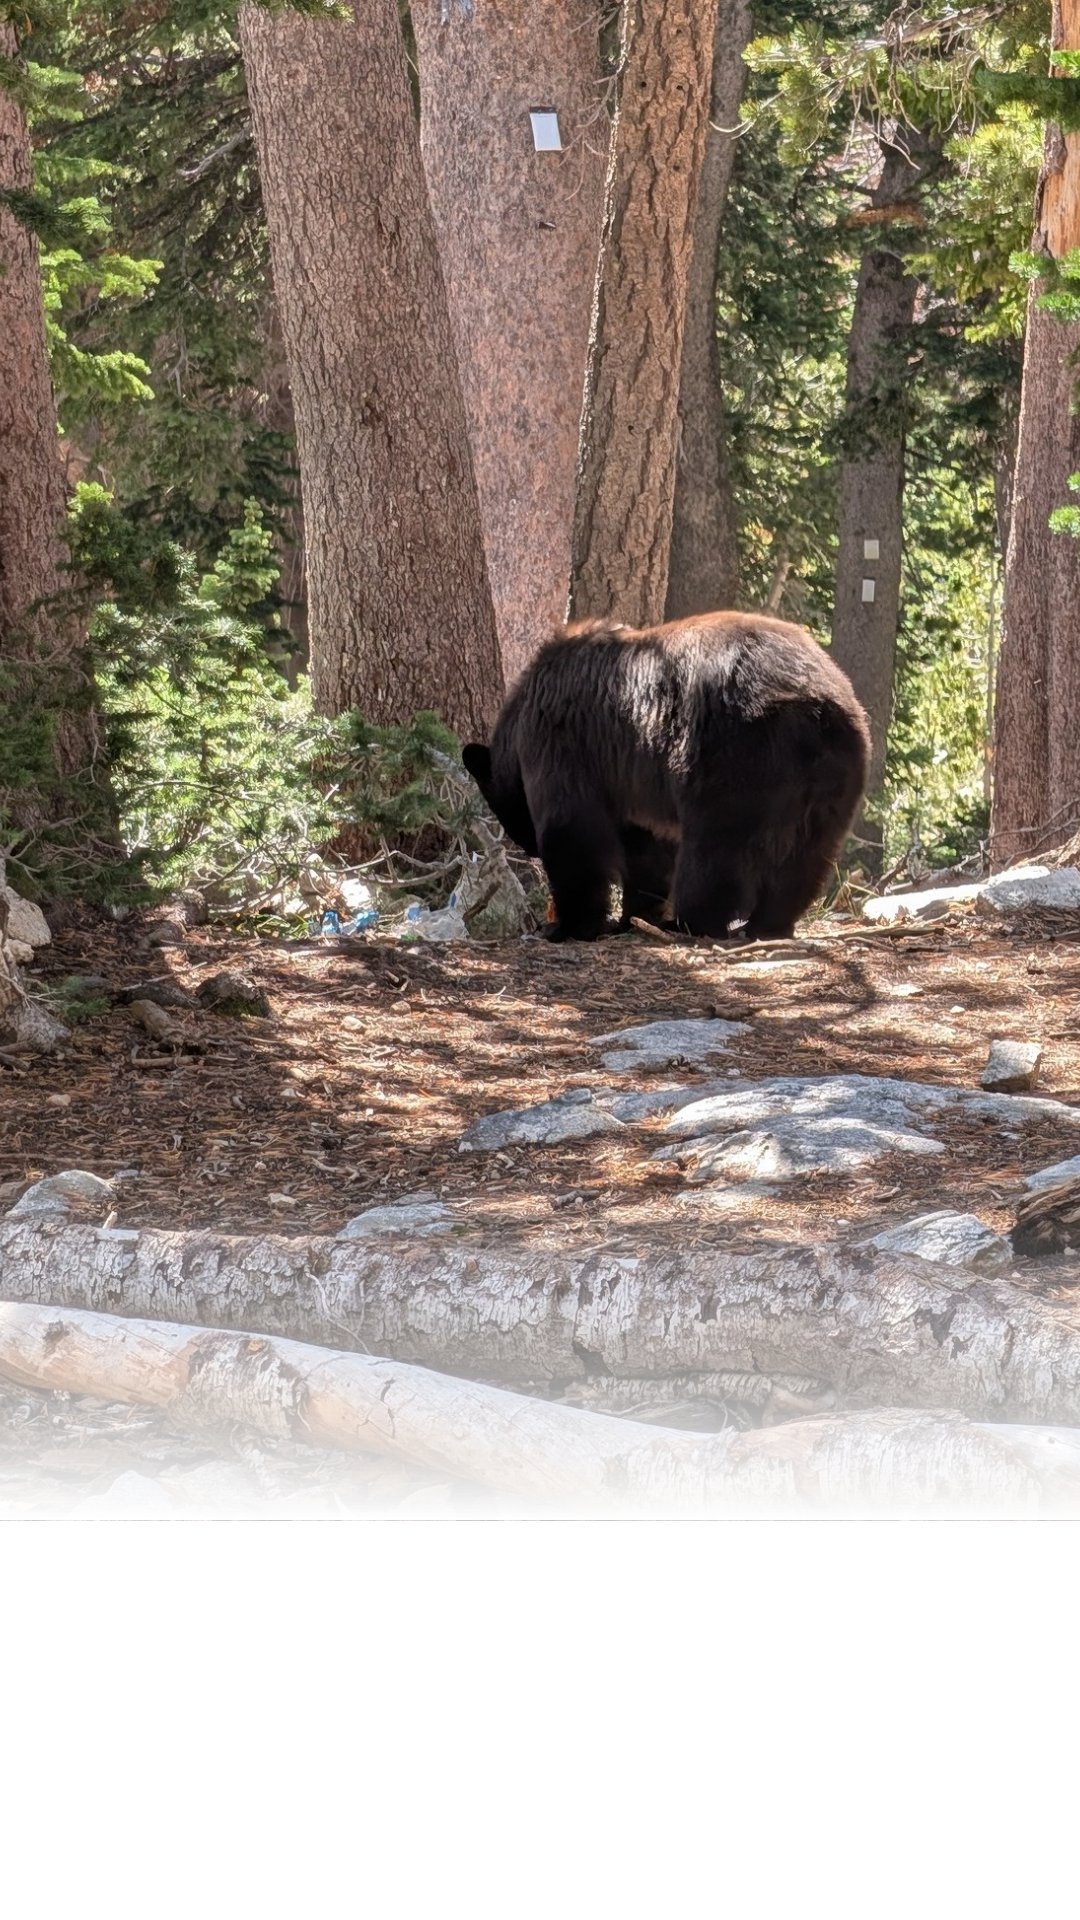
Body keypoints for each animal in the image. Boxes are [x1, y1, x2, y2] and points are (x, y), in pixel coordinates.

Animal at [462, 611, 871, 942]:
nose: (529, 848)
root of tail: (812, 703)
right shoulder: (630, 784)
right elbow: (645, 849)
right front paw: (632, 915)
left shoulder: (562, 743)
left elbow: (572, 830)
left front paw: (568, 925)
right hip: (838, 771)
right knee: (807, 855)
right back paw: (768, 923)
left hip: (732, 754)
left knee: (715, 848)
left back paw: (690, 922)